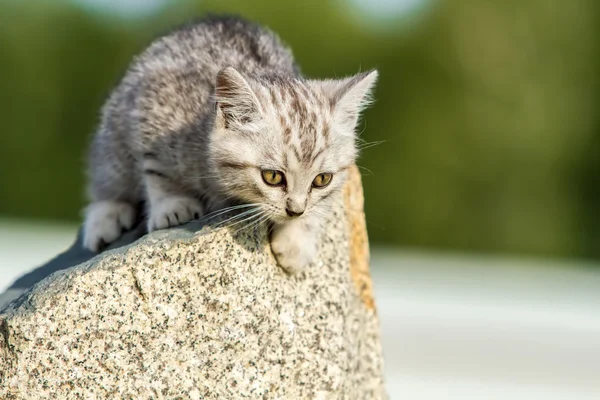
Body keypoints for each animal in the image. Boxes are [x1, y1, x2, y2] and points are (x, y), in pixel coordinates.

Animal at [82, 15, 378, 272]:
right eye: (272, 177)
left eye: (321, 180)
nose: (295, 211)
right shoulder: (153, 108)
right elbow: (157, 169)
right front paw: (172, 204)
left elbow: (323, 205)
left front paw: (296, 239)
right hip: (115, 126)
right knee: (108, 178)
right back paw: (106, 218)